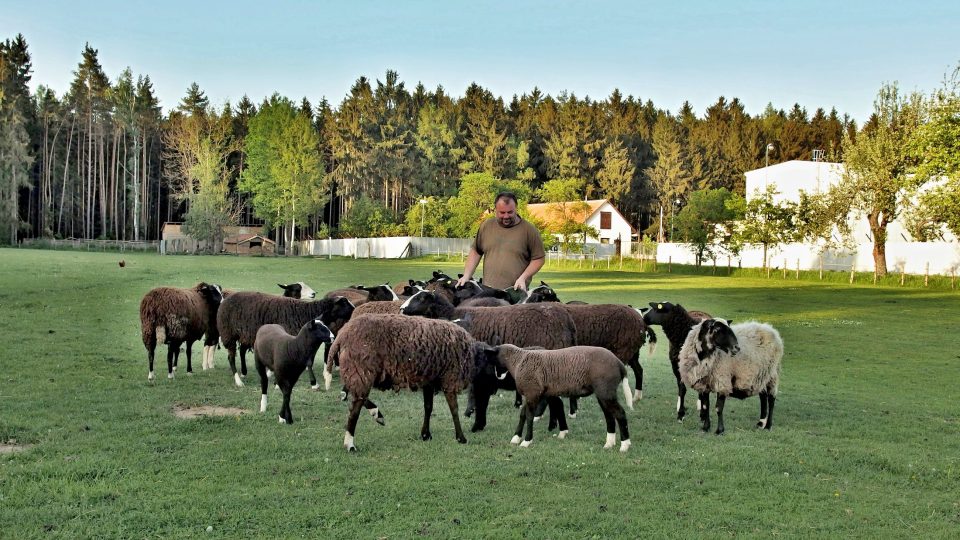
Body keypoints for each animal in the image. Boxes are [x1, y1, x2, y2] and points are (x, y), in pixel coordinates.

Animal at [216, 292, 355, 388]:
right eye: (344, 303)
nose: (355, 309)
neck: (305, 313)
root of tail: (225, 300)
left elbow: (308, 361)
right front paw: (313, 384)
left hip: (246, 334)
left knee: (242, 351)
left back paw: (244, 373)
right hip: (229, 334)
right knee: (231, 358)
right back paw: (238, 381)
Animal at [324, 313, 498, 452]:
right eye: (490, 362)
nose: (495, 388)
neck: (471, 355)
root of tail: (342, 335)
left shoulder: (429, 380)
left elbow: (428, 407)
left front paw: (425, 434)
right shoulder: (450, 377)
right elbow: (454, 409)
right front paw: (461, 437)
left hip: (358, 371)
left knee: (354, 394)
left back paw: (376, 414)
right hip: (362, 369)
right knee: (354, 408)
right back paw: (350, 444)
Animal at [398, 290, 577, 432]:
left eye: (422, 298)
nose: (401, 309)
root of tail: (568, 319)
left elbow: (473, 390)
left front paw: (470, 411)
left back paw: (542, 416)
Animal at [492, 344, 633, 451]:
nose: (498, 376)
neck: (518, 360)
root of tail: (619, 363)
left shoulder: (532, 393)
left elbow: (529, 416)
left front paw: (526, 441)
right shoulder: (531, 394)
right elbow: (523, 414)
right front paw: (516, 438)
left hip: (606, 392)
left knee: (620, 413)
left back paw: (624, 445)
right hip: (603, 394)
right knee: (609, 415)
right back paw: (609, 443)